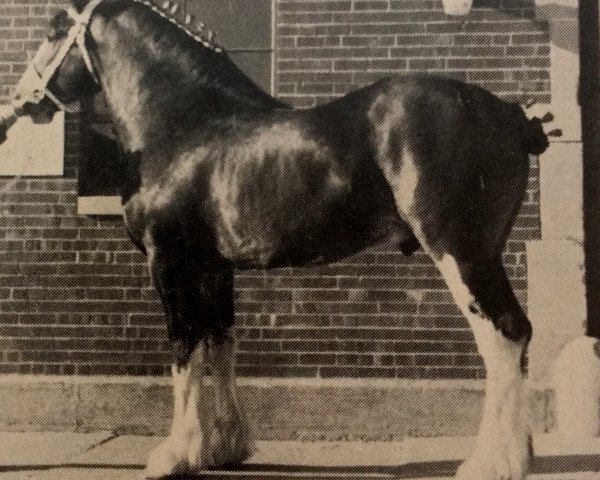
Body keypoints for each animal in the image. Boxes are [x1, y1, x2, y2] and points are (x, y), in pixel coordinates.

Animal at [2, 1, 552, 478]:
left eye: (54, 29)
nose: (19, 100)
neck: (186, 124)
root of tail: (511, 115)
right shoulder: (214, 269)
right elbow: (221, 343)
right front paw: (225, 448)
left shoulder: (169, 263)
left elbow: (184, 346)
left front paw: (174, 454)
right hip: (485, 254)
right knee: (519, 335)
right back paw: (518, 456)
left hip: (462, 253)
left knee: (502, 335)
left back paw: (490, 464)